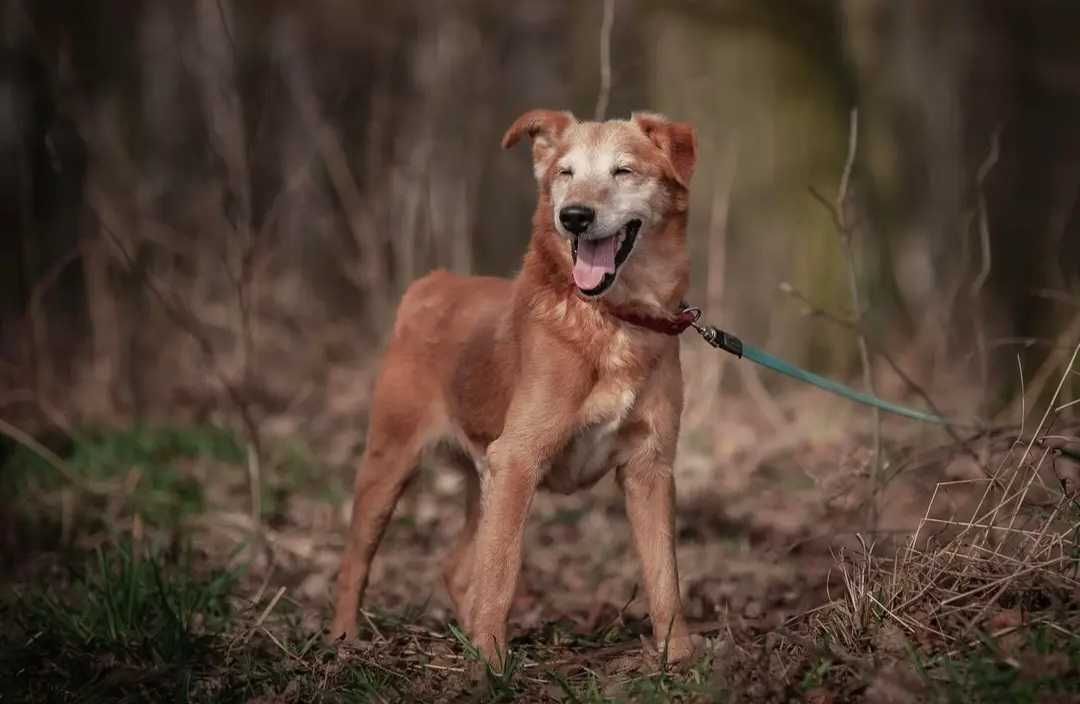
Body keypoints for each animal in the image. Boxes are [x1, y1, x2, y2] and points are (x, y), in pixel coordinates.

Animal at [330, 107, 699, 669]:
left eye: (624, 171)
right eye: (565, 173)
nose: (574, 216)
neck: (611, 319)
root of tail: (434, 283)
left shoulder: (649, 468)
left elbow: (664, 578)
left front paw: (678, 662)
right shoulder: (519, 459)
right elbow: (502, 574)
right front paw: (490, 665)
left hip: (483, 481)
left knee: (458, 568)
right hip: (392, 463)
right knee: (358, 561)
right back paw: (344, 639)